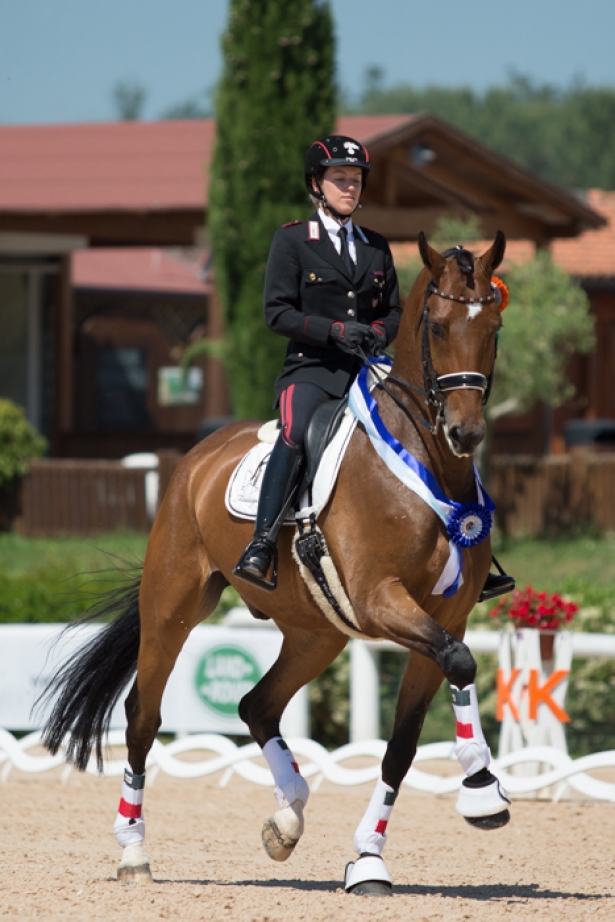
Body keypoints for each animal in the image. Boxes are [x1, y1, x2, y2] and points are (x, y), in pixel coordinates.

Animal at [42, 230, 510, 892]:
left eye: (493, 326)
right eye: (439, 326)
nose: (465, 433)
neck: (428, 461)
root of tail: (198, 456)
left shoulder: (447, 615)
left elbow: (407, 736)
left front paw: (370, 857)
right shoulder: (380, 597)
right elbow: (460, 663)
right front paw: (481, 788)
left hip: (316, 632)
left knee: (256, 705)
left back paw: (287, 819)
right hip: (171, 607)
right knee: (142, 716)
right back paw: (134, 851)